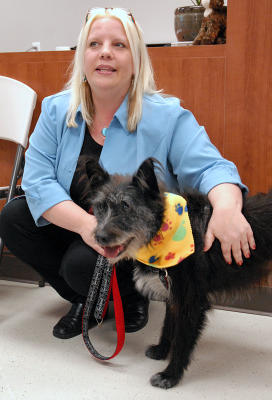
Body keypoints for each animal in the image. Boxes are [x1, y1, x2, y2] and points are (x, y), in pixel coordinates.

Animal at [81, 156, 272, 388]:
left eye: (126, 206)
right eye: (100, 206)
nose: (99, 237)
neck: (162, 228)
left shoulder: (191, 300)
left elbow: (182, 339)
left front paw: (170, 375)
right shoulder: (173, 296)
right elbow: (168, 326)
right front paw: (161, 351)